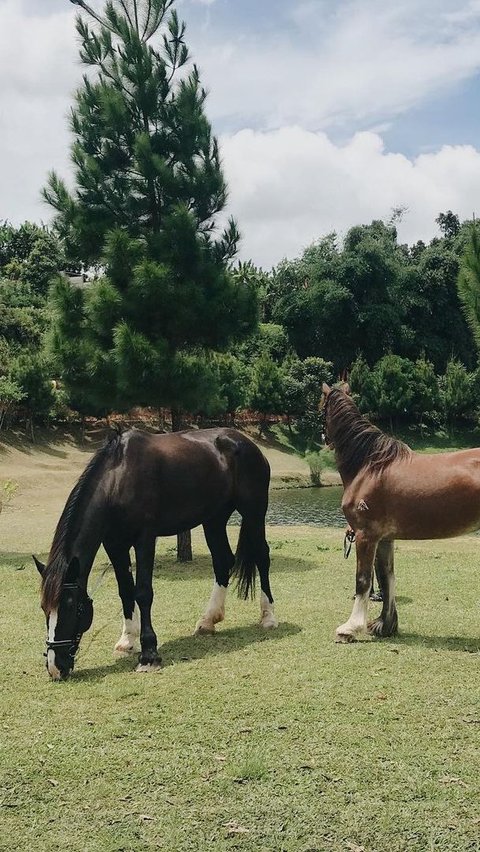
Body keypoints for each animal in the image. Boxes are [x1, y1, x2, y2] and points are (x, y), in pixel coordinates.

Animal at [34, 430, 278, 684]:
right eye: (43, 608)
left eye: (73, 608)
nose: (55, 667)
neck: (119, 479)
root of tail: (244, 441)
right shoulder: (114, 543)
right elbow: (125, 591)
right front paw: (127, 641)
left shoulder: (145, 538)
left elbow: (143, 592)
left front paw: (149, 655)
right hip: (214, 518)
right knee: (222, 562)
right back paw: (207, 621)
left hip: (253, 511)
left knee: (262, 556)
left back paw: (268, 617)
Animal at [320, 382, 480, 644]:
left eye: (320, 408)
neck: (368, 466)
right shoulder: (385, 538)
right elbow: (387, 579)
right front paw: (385, 625)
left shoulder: (365, 535)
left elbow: (363, 580)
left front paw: (350, 629)